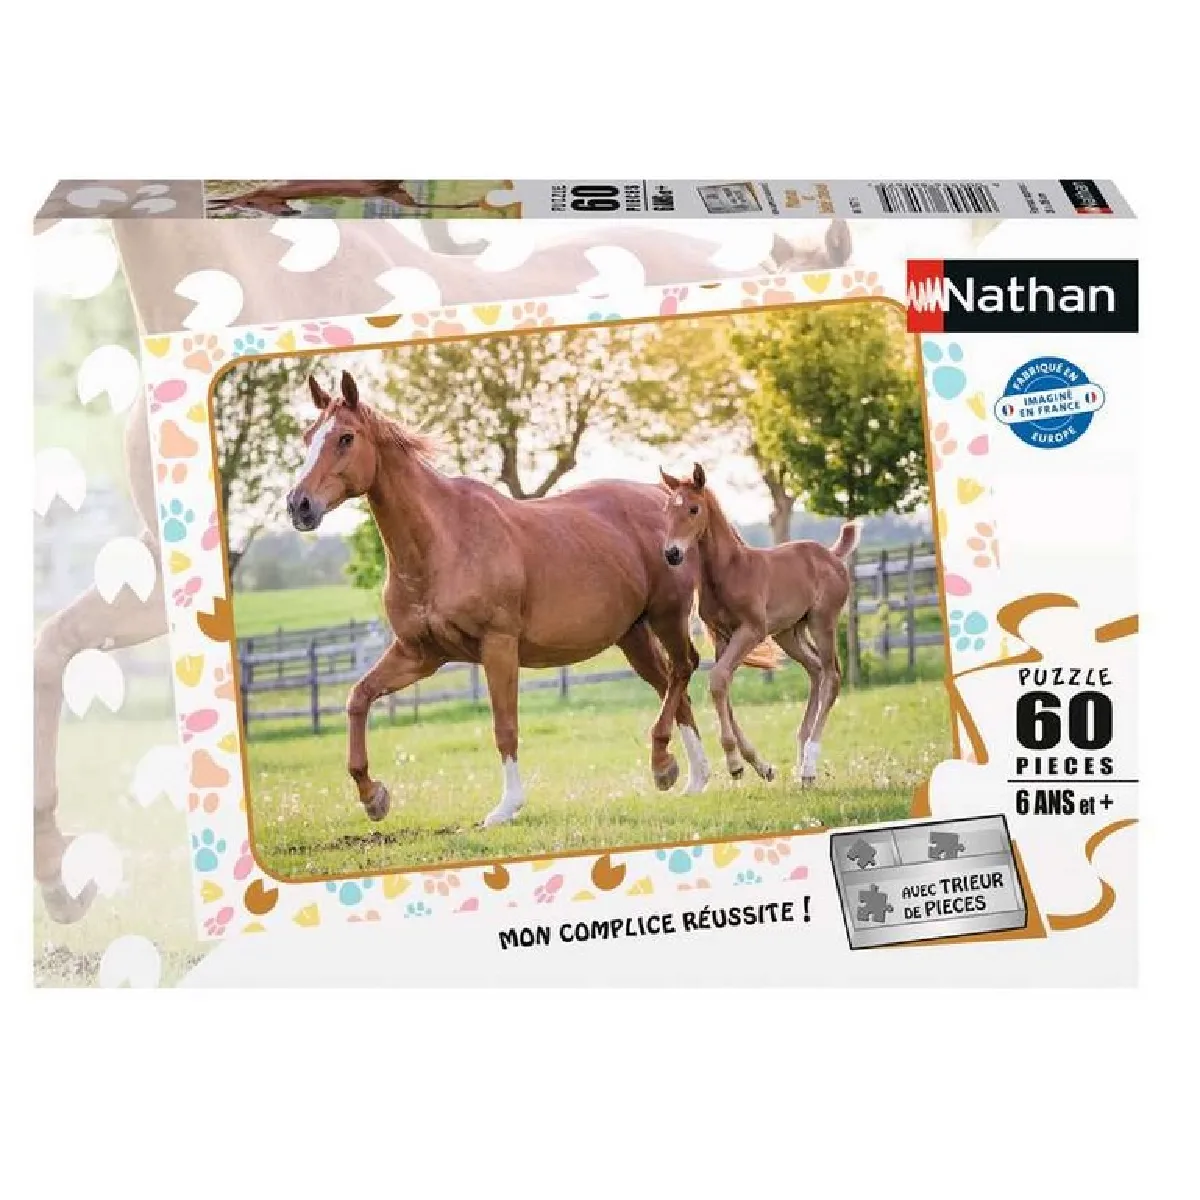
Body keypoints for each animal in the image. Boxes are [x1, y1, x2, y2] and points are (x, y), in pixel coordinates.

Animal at [284, 371, 725, 827]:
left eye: (346, 438)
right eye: (308, 436)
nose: (299, 505)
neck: (444, 541)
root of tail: (667, 501)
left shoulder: (497, 645)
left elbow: (505, 726)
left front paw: (506, 807)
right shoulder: (419, 654)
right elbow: (359, 697)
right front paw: (373, 796)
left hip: (667, 615)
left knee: (683, 669)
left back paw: (666, 764)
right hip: (632, 634)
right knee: (670, 684)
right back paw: (687, 775)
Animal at [659, 463, 860, 786]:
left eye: (693, 509)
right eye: (667, 509)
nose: (672, 553)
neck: (728, 571)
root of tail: (831, 555)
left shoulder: (752, 631)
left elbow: (718, 679)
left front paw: (734, 763)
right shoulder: (723, 636)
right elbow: (722, 686)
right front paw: (757, 765)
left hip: (822, 622)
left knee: (831, 677)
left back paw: (809, 765)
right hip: (788, 633)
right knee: (816, 669)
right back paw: (801, 761)